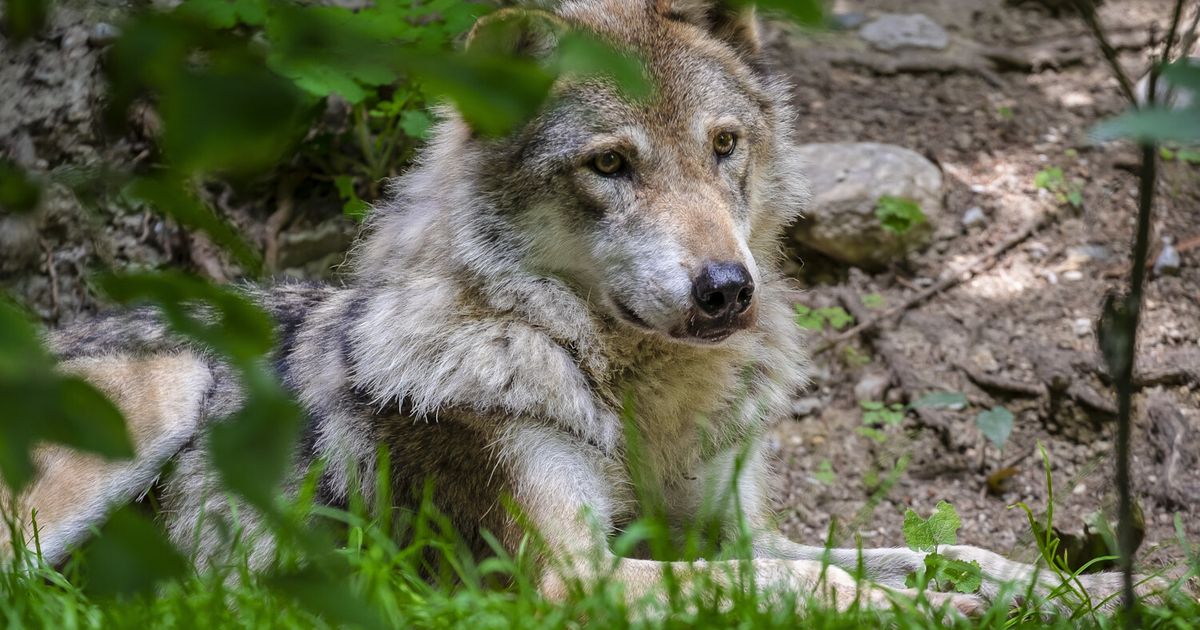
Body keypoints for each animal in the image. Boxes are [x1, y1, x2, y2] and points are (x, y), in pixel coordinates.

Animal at [2, 0, 1160, 616]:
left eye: (723, 145)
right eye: (610, 165)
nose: (727, 288)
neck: (643, 401)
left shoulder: (736, 536)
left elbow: (924, 554)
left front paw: (1089, 592)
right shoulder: (572, 578)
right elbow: (831, 594)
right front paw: (948, 615)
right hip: (159, 391)